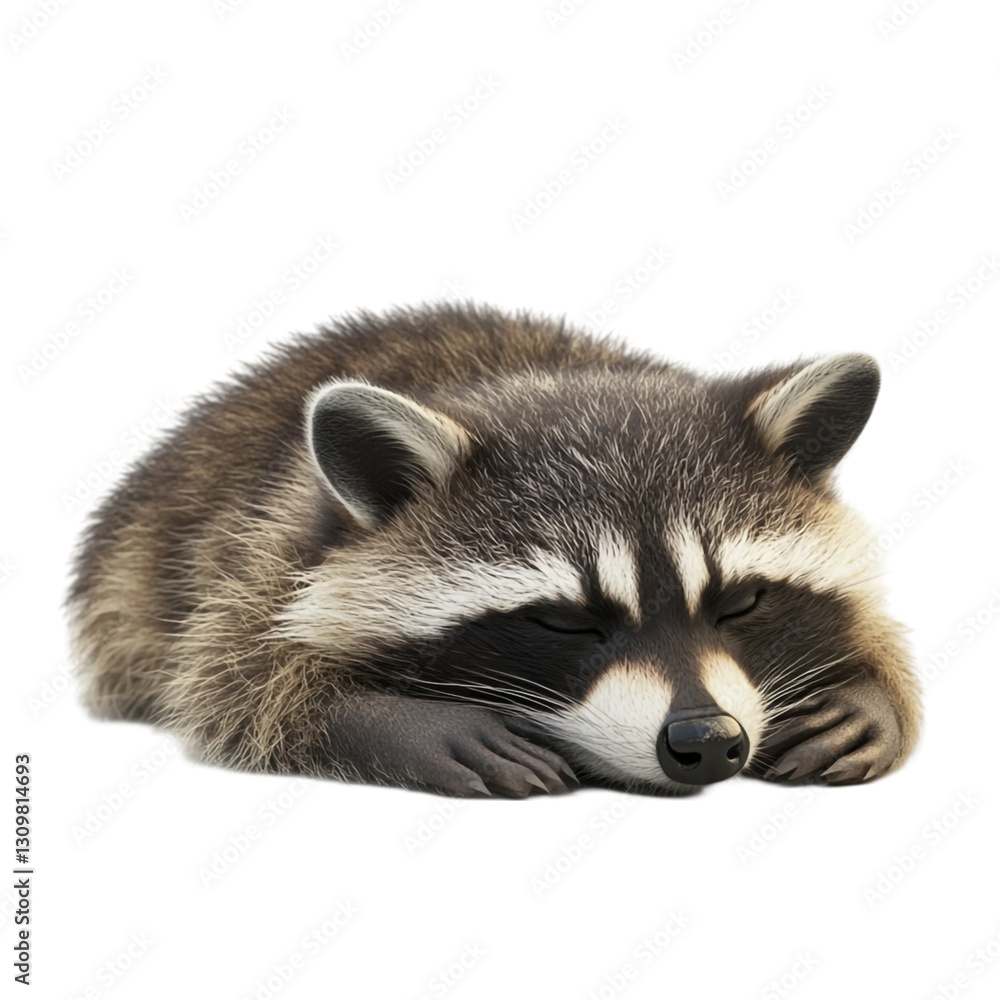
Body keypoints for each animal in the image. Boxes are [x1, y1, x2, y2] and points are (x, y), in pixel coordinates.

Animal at [68, 303, 921, 797]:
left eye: (740, 602)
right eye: (567, 622)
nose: (706, 740)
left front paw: (868, 693)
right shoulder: (268, 554)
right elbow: (232, 681)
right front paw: (391, 718)